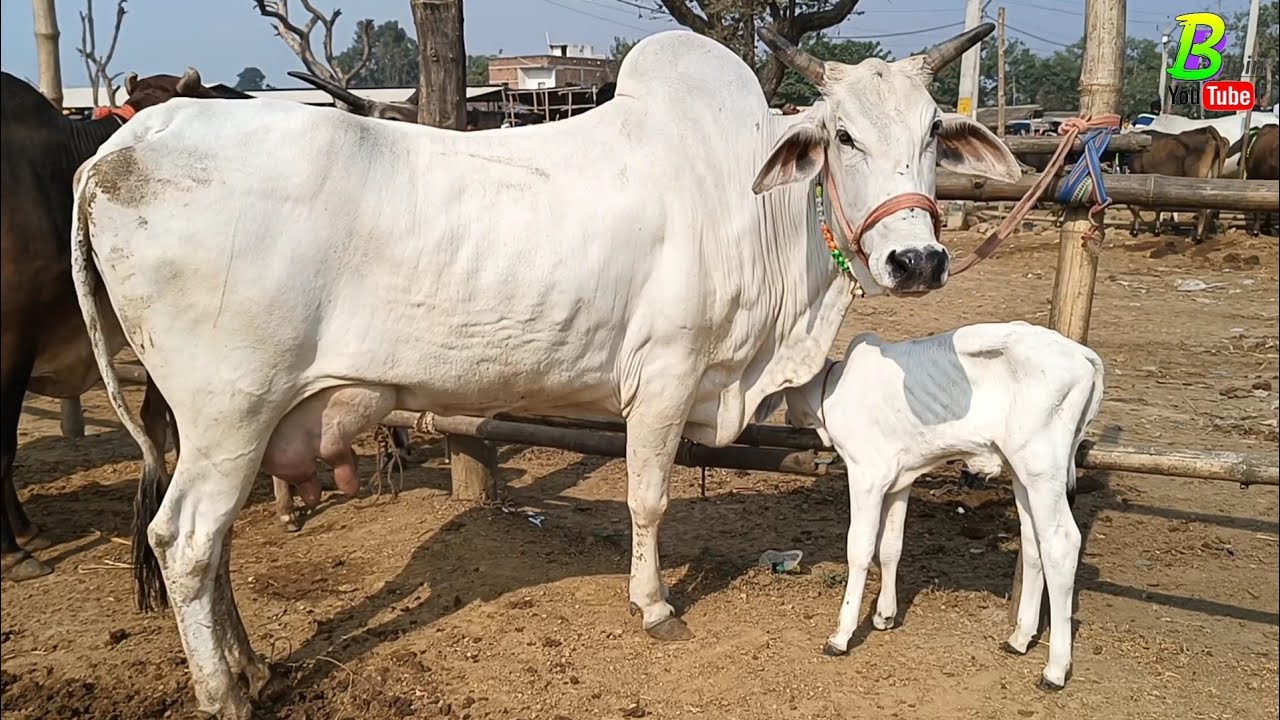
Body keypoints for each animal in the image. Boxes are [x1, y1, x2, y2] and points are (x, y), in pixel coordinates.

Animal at [71, 25, 1020, 717]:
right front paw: (654, 606)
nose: (917, 261)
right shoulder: (666, 375)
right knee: (184, 541)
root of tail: (122, 148)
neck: (752, 211)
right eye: (843, 135)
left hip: (234, 422)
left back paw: (253, 666)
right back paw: (224, 693)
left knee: (214, 543)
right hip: (228, 408)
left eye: (933, 133)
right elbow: (649, 498)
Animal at [764, 321, 1103, 691]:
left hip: (1042, 469)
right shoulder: (899, 481)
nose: (787, 419)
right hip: (1023, 474)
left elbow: (860, 548)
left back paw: (1054, 669)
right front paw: (884, 615)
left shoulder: (866, 476)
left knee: (1061, 545)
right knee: (1033, 542)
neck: (835, 388)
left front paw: (841, 635)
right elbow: (890, 547)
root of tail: (1083, 354)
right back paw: (1019, 639)